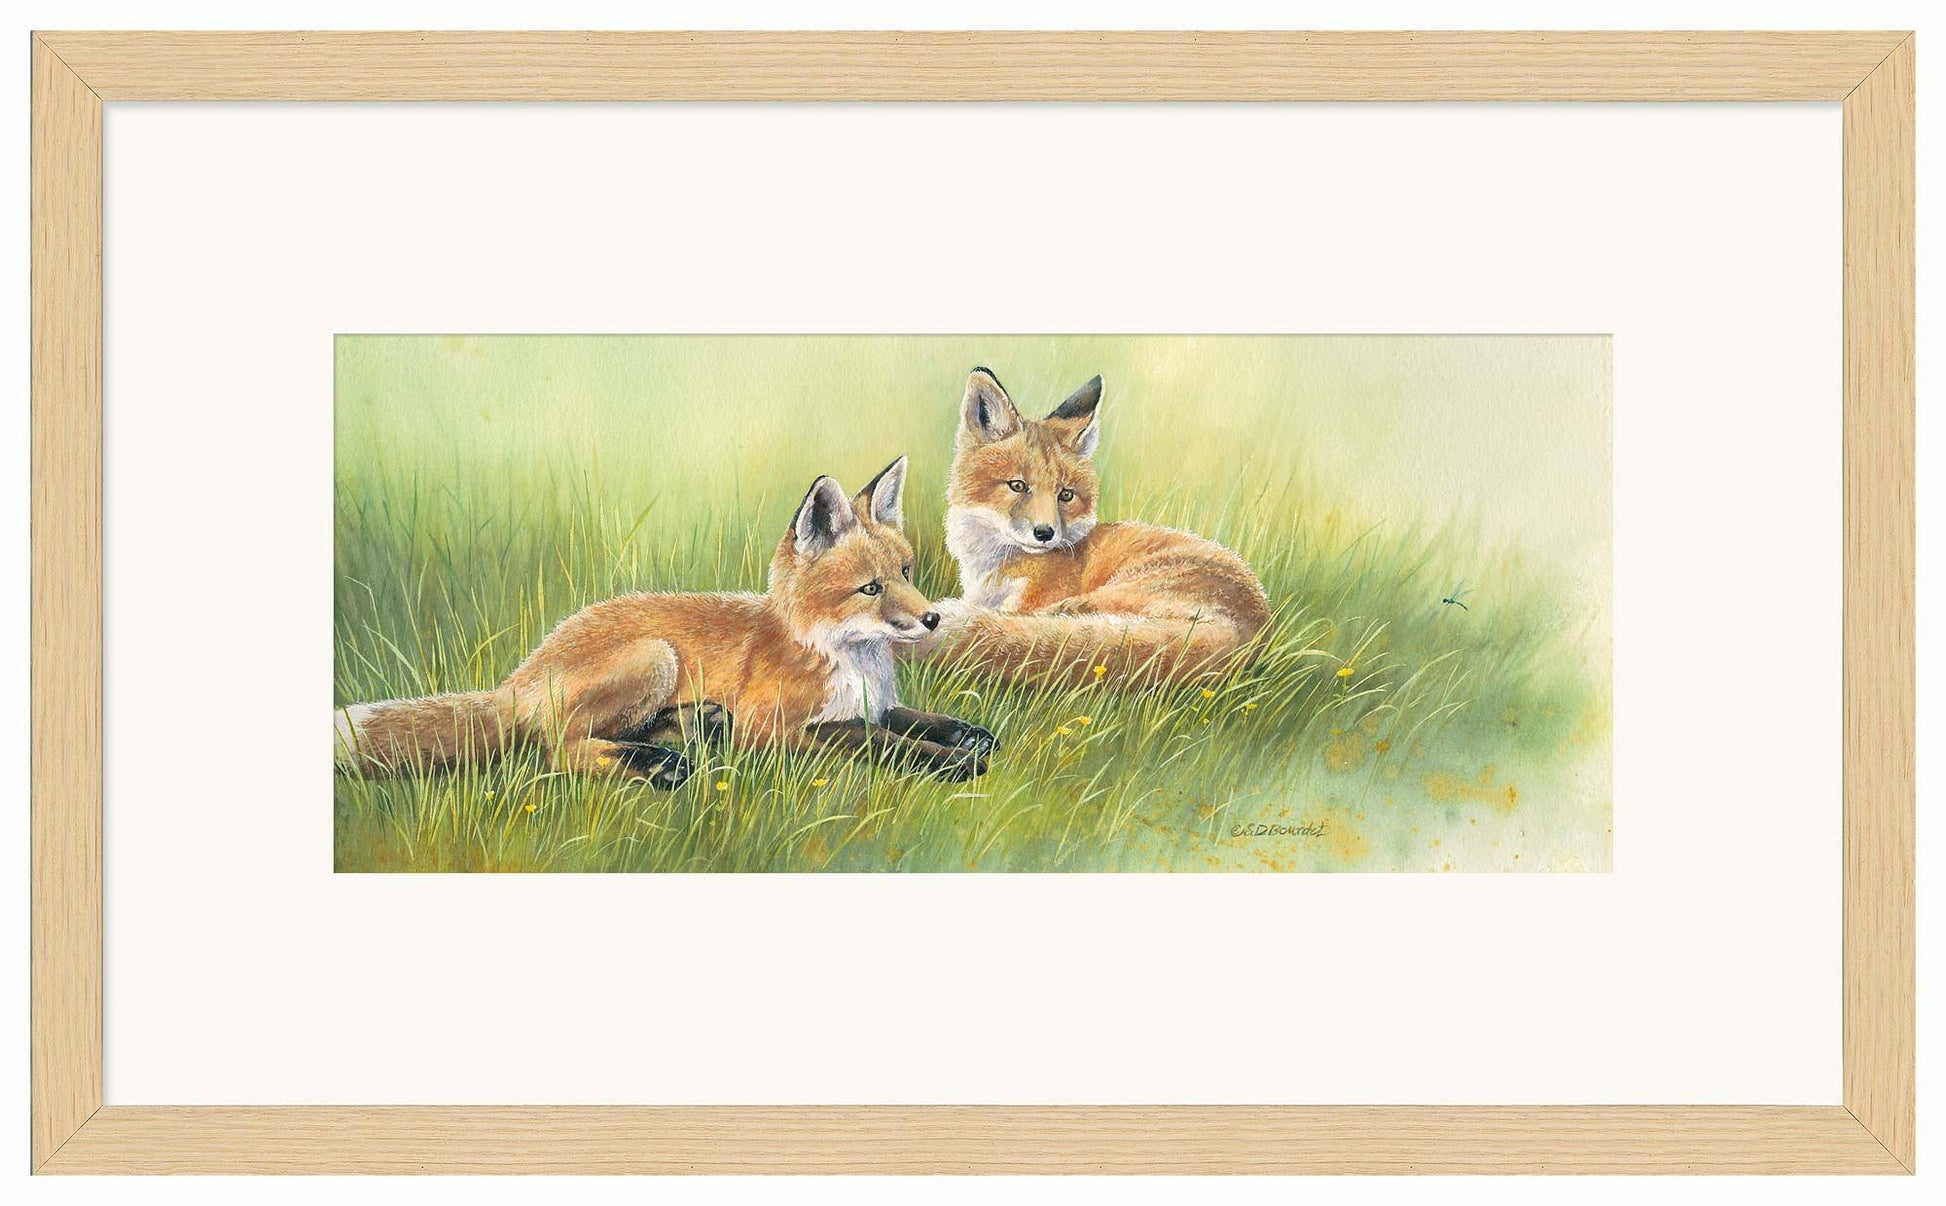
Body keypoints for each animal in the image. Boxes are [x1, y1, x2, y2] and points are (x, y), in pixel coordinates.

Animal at [335, 456, 997, 787]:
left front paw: (966, 733)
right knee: (554, 750)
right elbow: (875, 740)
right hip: (655, 655)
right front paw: (953, 761)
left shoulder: (874, 703)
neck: (846, 659)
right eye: (870, 588)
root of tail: (520, 675)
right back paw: (657, 765)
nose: (932, 619)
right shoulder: (776, 727)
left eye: (907, 571)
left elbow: (911, 719)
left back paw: (689, 731)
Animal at [917, 367, 1271, 689]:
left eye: (1065, 495)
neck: (994, 567)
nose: (1045, 534)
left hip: (1109, 594)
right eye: (1017, 485)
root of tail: (1247, 634)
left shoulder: (1028, 601)